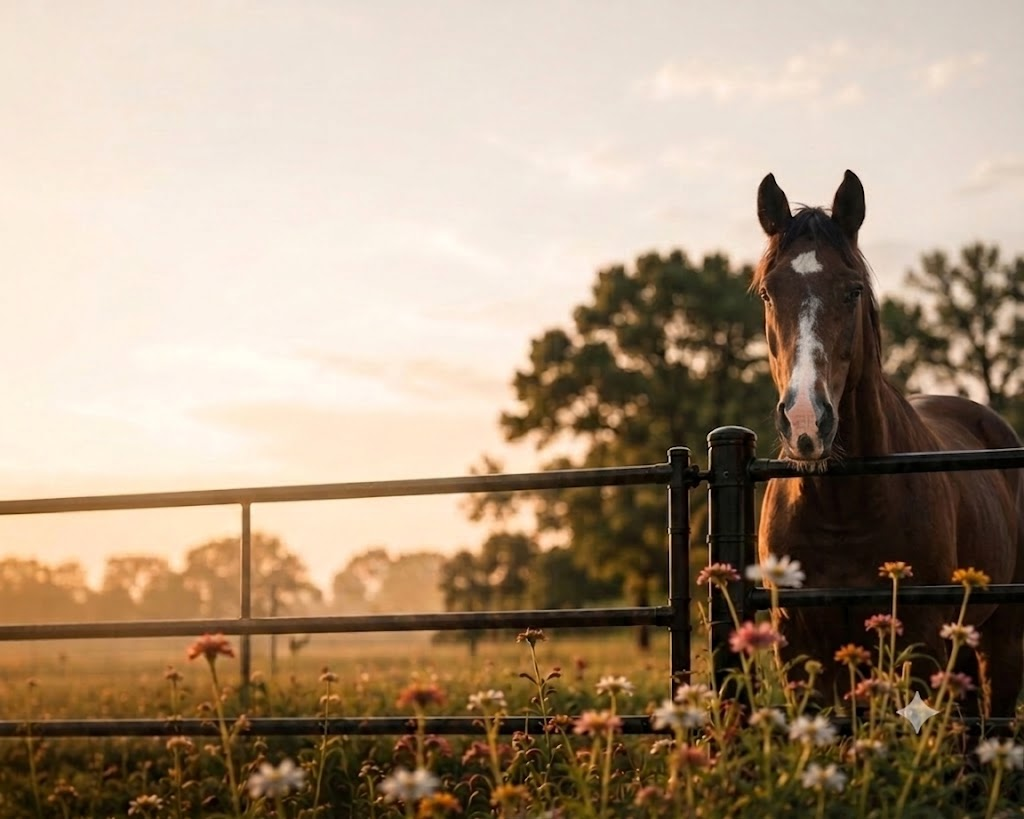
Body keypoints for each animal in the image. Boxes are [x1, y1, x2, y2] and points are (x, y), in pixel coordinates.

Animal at [752, 169, 1024, 715]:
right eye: (769, 293)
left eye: (853, 291)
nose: (806, 421)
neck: (843, 507)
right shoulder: (800, 654)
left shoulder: (919, 643)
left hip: (1001, 642)